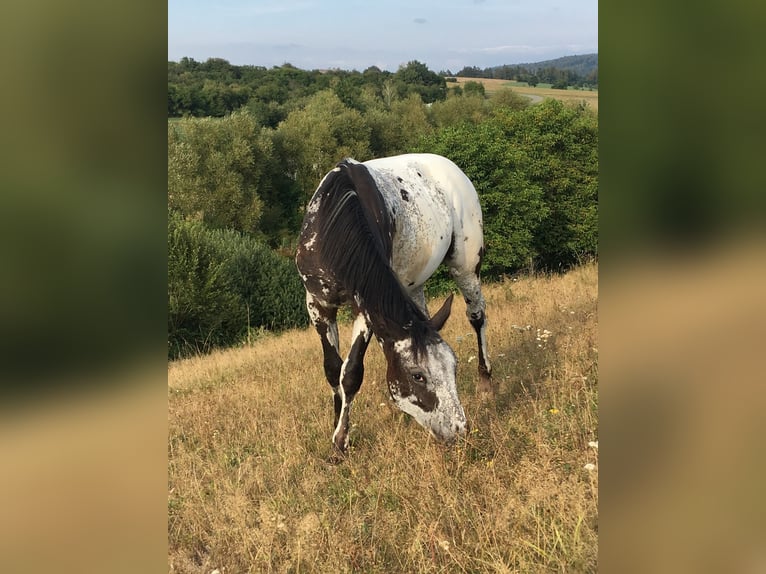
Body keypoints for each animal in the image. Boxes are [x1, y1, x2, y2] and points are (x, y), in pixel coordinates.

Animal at [294, 154, 492, 460]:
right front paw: (338, 432)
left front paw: (340, 444)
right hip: (413, 284)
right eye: (418, 376)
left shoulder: (365, 309)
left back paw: (486, 383)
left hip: (466, 267)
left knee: (477, 315)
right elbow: (334, 371)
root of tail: (451, 167)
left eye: (455, 367)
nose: (459, 431)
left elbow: (351, 373)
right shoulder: (317, 304)